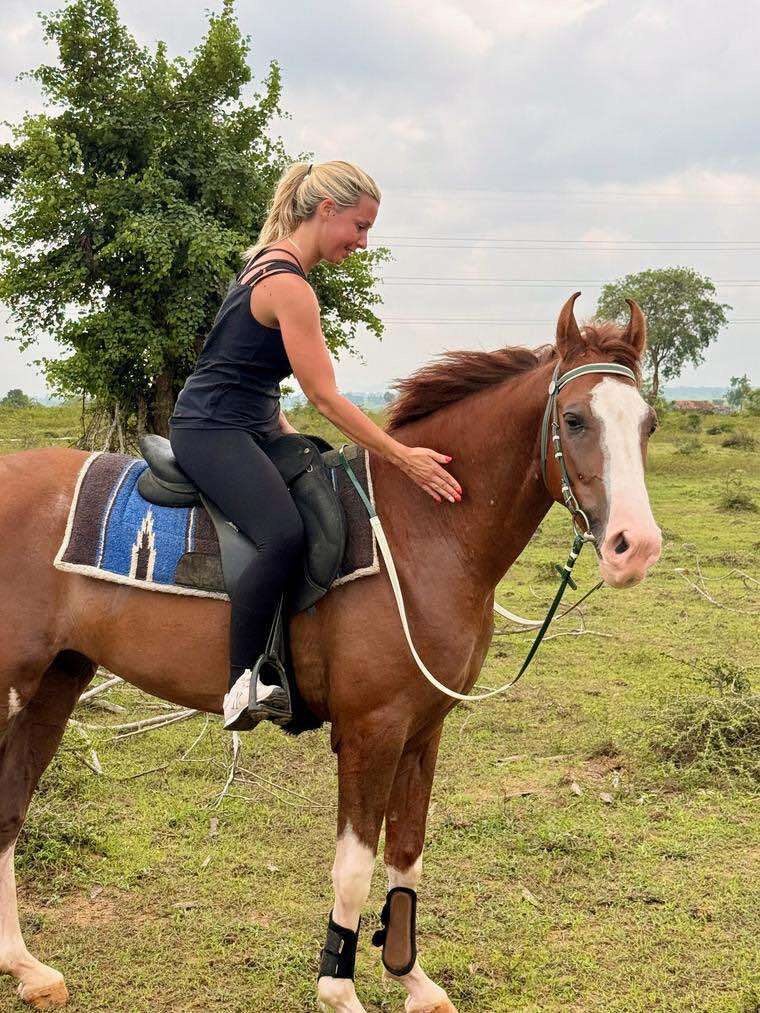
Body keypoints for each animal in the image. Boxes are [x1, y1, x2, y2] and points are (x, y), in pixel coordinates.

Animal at [0, 294, 661, 1012]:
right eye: (574, 419)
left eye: (648, 423)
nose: (635, 546)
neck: (421, 530)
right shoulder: (373, 729)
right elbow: (353, 866)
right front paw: (338, 986)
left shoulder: (423, 729)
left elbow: (407, 851)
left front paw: (411, 977)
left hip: (55, 681)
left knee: (9, 806)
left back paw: (26, 966)